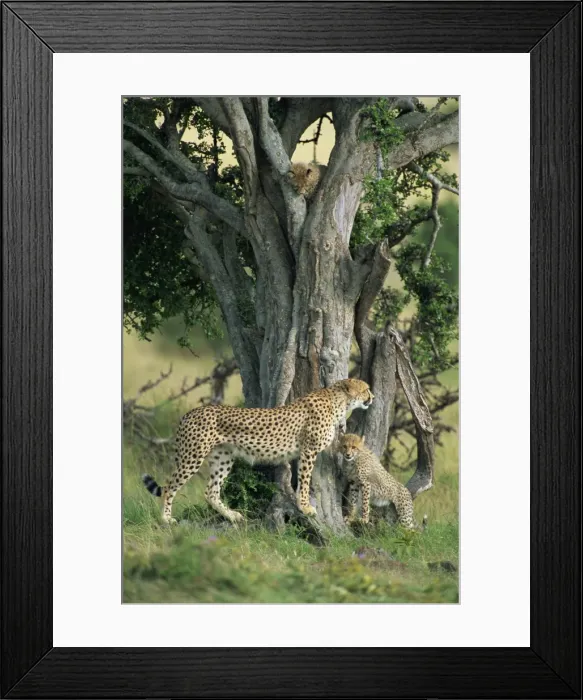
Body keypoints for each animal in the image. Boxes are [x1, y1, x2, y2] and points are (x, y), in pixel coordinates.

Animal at [143, 379, 373, 525]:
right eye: (366, 389)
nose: (372, 397)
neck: (339, 402)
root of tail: (190, 412)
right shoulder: (308, 450)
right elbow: (305, 479)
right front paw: (306, 507)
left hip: (223, 457)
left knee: (211, 492)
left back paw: (232, 516)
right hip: (193, 456)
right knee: (169, 486)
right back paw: (166, 518)